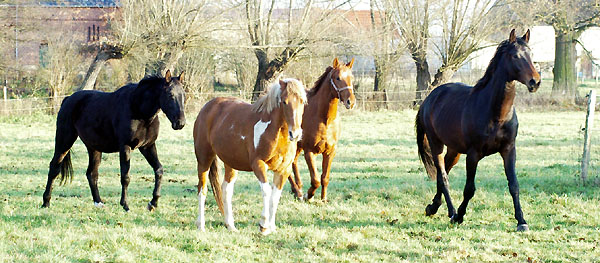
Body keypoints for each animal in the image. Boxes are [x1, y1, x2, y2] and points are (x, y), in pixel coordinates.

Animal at [41, 70, 185, 212]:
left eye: (183, 95)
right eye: (170, 95)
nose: (180, 123)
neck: (138, 109)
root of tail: (67, 99)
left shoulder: (147, 146)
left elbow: (159, 170)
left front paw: (153, 203)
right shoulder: (125, 147)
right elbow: (125, 177)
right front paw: (125, 205)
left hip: (94, 148)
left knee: (91, 174)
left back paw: (98, 202)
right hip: (65, 141)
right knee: (54, 168)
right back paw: (46, 202)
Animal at [193, 78, 308, 235]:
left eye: (302, 101)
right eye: (284, 102)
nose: (295, 134)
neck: (274, 130)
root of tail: (206, 108)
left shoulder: (283, 170)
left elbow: (275, 197)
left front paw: (272, 227)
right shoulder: (258, 165)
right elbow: (267, 191)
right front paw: (263, 226)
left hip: (231, 162)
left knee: (226, 190)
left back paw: (230, 225)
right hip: (204, 158)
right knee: (202, 189)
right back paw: (201, 225)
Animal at [288, 58, 356, 202]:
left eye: (351, 78)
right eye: (337, 78)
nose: (350, 102)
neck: (324, 119)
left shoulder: (330, 152)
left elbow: (324, 178)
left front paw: (323, 198)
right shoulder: (309, 152)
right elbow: (315, 180)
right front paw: (309, 196)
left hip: (297, 146)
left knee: (293, 162)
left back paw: (298, 189)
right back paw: (298, 191)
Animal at [418, 29, 540, 232]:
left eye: (531, 54)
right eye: (515, 56)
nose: (535, 82)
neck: (496, 114)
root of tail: (430, 97)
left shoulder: (509, 150)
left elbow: (514, 185)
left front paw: (521, 221)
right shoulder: (473, 154)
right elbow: (469, 189)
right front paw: (460, 215)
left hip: (454, 150)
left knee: (443, 174)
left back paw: (434, 207)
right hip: (437, 145)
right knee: (443, 177)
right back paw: (451, 212)